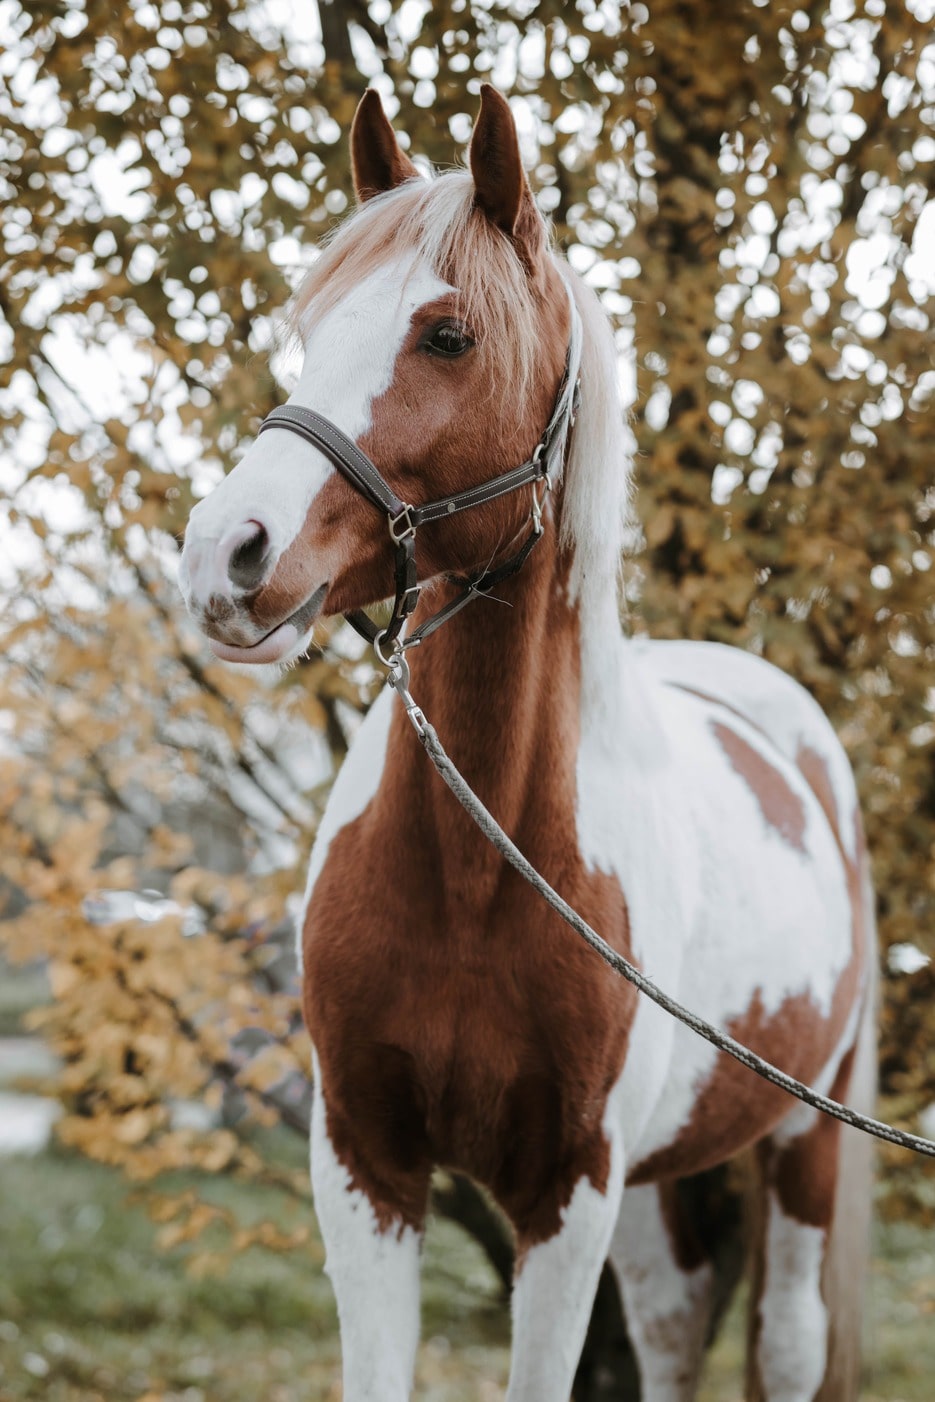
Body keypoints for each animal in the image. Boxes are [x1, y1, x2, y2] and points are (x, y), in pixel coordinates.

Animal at [179, 85, 876, 1402]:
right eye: (309, 326)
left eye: (447, 335)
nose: (225, 555)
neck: (478, 867)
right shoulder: (364, 1167)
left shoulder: (567, 1193)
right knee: (670, 1323)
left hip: (803, 1138)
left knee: (786, 1337)